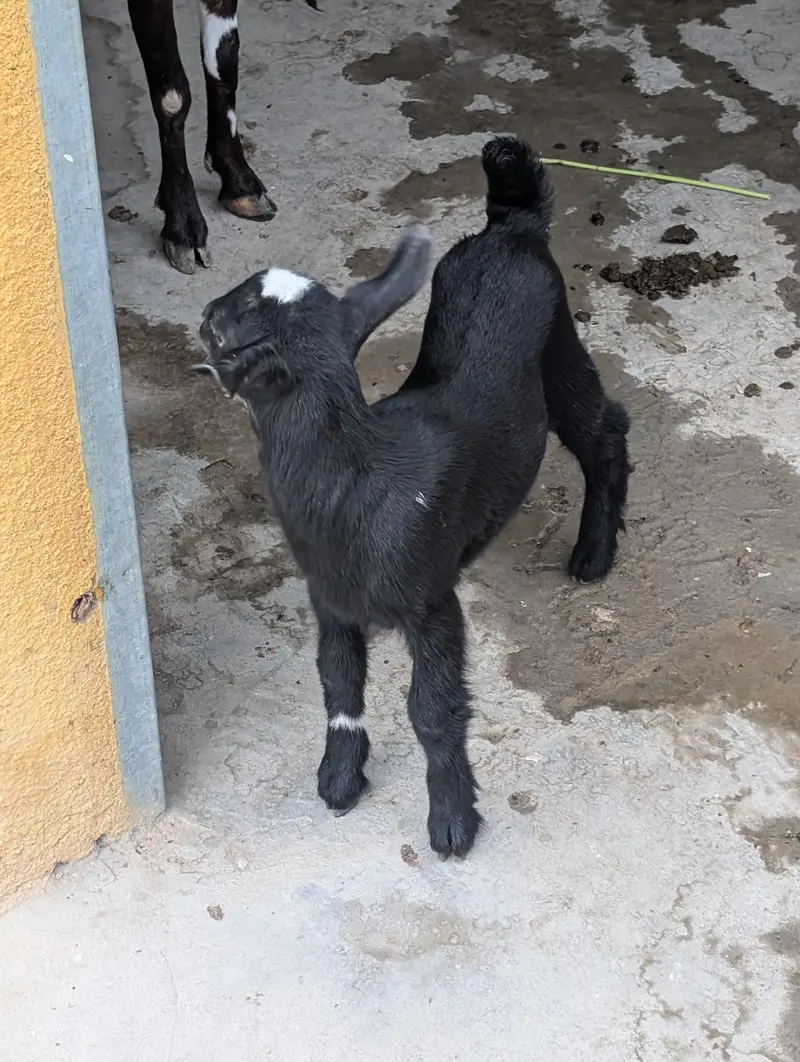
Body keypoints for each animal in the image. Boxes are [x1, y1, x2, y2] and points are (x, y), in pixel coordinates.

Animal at [193, 136, 631, 857]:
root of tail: (510, 227)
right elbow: (338, 683)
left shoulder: (431, 602)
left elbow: (432, 709)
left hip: (560, 347)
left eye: (232, 325)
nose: (203, 312)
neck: (354, 478)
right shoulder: (332, 600)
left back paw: (595, 554)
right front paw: (340, 778)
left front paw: (453, 819)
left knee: (604, 431)